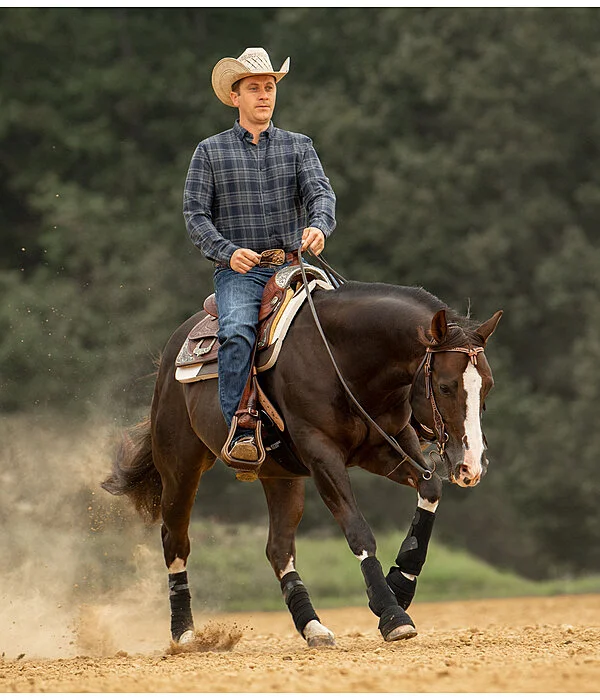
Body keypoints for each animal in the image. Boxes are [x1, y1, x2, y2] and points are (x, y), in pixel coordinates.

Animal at [102, 278, 502, 647]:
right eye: (446, 386)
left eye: (488, 386)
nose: (470, 466)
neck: (343, 357)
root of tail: (173, 350)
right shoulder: (321, 454)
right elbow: (358, 530)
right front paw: (392, 613)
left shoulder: (387, 446)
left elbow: (431, 488)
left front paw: (401, 583)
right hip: (180, 465)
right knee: (176, 541)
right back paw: (184, 633)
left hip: (280, 476)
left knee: (278, 549)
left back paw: (313, 627)